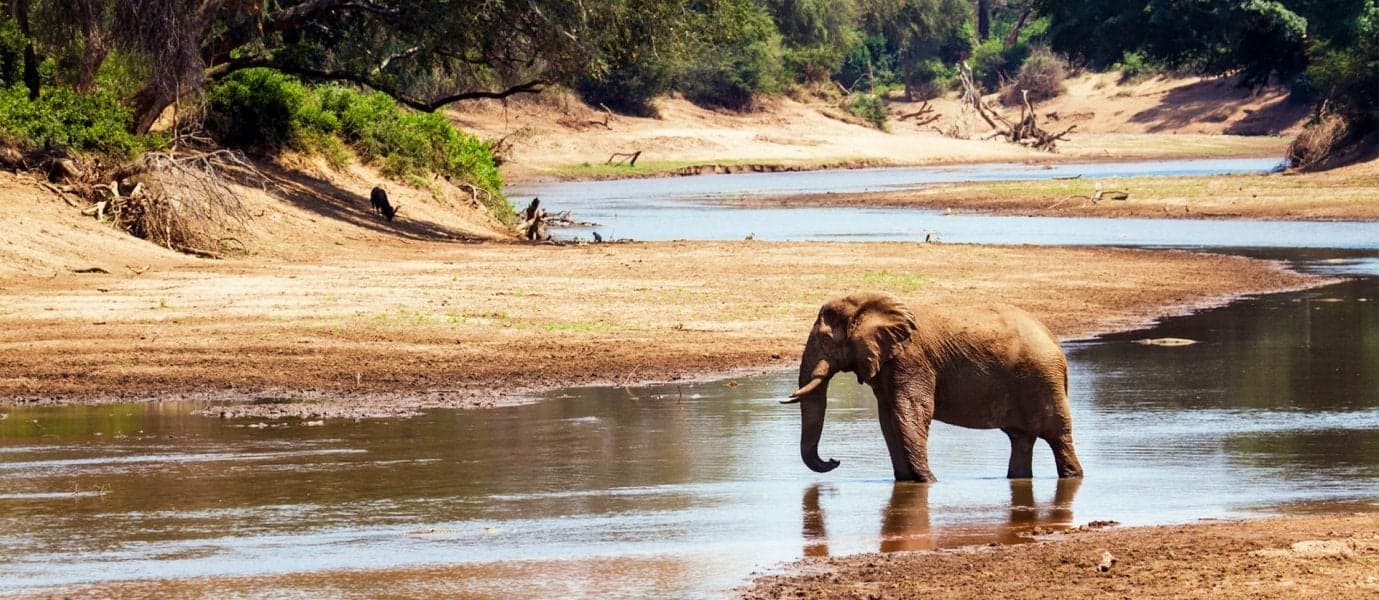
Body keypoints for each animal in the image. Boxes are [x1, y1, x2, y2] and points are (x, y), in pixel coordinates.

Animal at [783, 292, 1084, 482]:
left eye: (825, 340)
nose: (834, 461)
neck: (865, 303)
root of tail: (1056, 343)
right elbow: (888, 420)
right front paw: (909, 482)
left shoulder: (911, 360)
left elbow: (912, 412)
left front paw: (928, 482)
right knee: (1022, 439)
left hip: (1043, 378)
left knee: (1057, 436)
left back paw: (1072, 477)